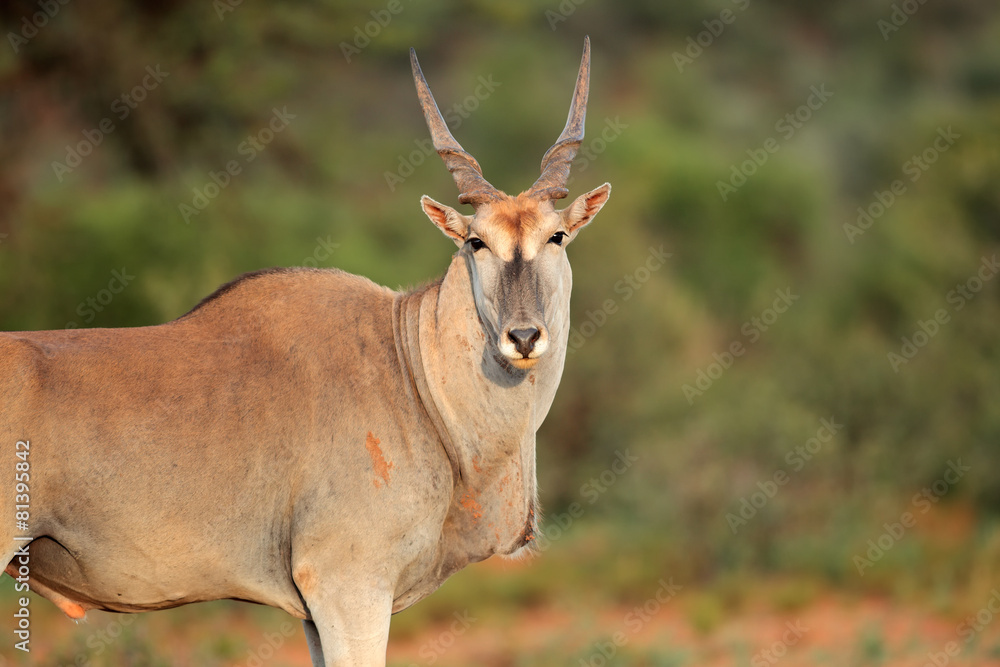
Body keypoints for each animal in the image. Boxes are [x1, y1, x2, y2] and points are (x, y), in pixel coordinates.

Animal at [0, 37, 610, 666]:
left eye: (557, 236)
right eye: (475, 241)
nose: (523, 338)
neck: (414, 369)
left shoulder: (319, 612)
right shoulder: (349, 588)